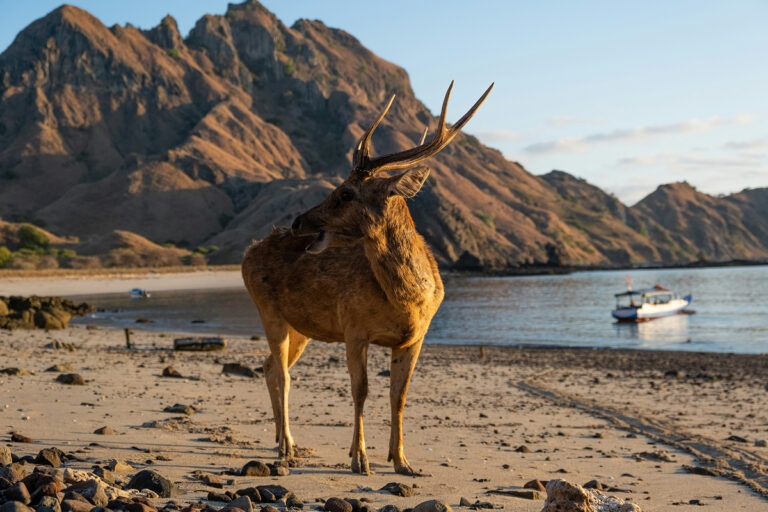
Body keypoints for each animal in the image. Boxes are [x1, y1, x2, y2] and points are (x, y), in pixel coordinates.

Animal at [242, 81, 493, 475]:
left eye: (347, 192)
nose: (298, 222)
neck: (407, 303)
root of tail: (247, 252)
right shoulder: (353, 328)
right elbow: (360, 390)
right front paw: (360, 459)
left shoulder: (414, 338)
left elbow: (399, 395)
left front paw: (402, 461)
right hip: (268, 310)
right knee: (281, 372)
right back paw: (286, 447)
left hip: (302, 326)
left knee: (269, 367)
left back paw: (284, 440)